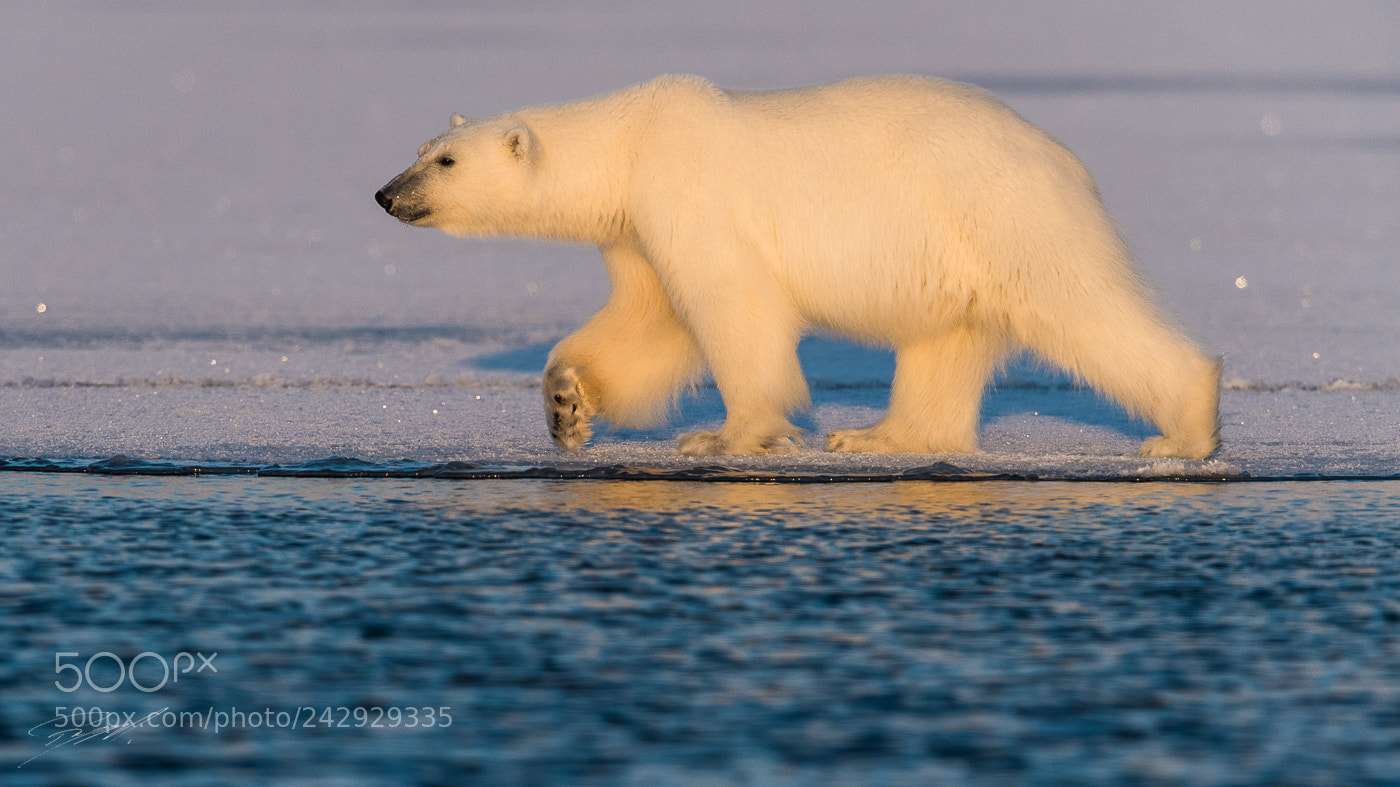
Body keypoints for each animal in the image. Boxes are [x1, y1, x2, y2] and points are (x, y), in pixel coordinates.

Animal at [376, 75, 1221, 459]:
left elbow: (729, 311)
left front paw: (721, 436)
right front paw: (566, 405)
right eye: (420, 147)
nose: (386, 194)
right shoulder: (638, 229)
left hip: (1002, 215)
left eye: (445, 162)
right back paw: (876, 436)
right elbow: (649, 319)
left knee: (1078, 307)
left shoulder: (691, 196)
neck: (631, 140)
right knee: (943, 344)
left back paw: (1181, 433)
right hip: (956, 254)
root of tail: (1066, 159)